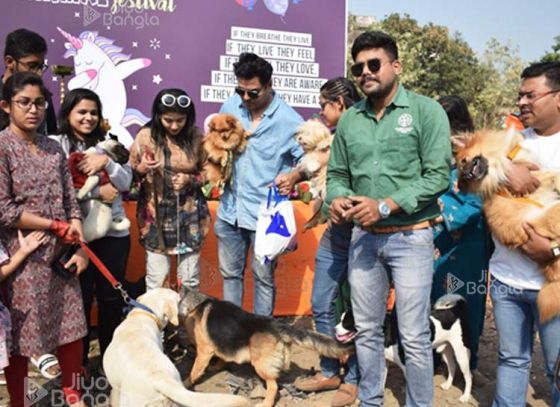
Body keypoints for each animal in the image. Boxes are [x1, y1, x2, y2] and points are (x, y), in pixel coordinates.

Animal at [180, 286, 354, 407]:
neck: (196, 302)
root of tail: (277, 326)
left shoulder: (204, 351)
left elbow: (194, 371)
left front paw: (185, 384)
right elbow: (221, 357)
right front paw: (216, 366)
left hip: (261, 366)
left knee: (273, 387)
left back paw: (266, 403)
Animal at [336, 294, 472, 404]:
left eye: (346, 323)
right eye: (340, 320)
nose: (334, 329)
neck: (386, 330)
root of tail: (456, 310)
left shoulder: (407, 365)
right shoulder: (383, 363)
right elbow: (380, 384)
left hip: (461, 353)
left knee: (468, 376)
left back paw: (465, 396)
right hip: (445, 350)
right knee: (452, 366)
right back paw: (448, 385)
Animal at [456, 129, 560, 324]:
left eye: (464, 161)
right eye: (460, 166)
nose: (464, 176)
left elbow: (552, 171)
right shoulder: (531, 177)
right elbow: (550, 173)